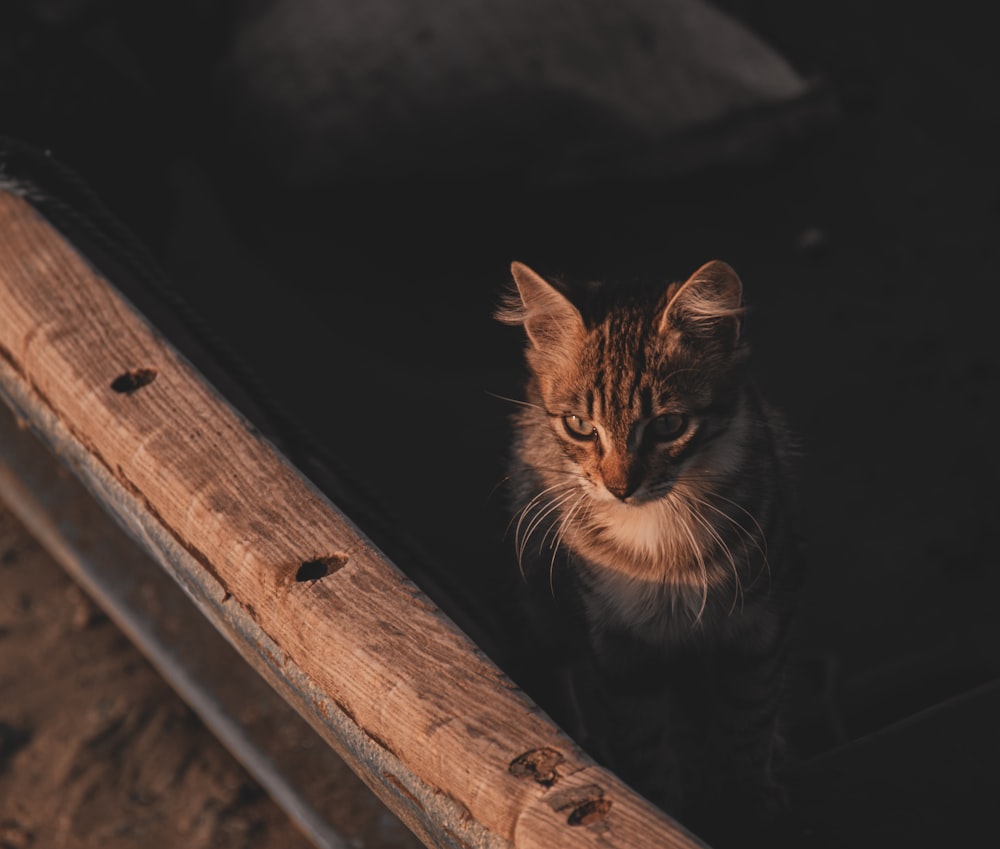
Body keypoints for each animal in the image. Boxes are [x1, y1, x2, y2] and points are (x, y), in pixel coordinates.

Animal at [500, 260, 804, 840]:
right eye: (579, 425)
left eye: (667, 425)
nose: (620, 487)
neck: (658, 541)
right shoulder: (619, 650)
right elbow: (643, 745)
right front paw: (661, 811)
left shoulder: (758, 626)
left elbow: (747, 722)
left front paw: (747, 803)